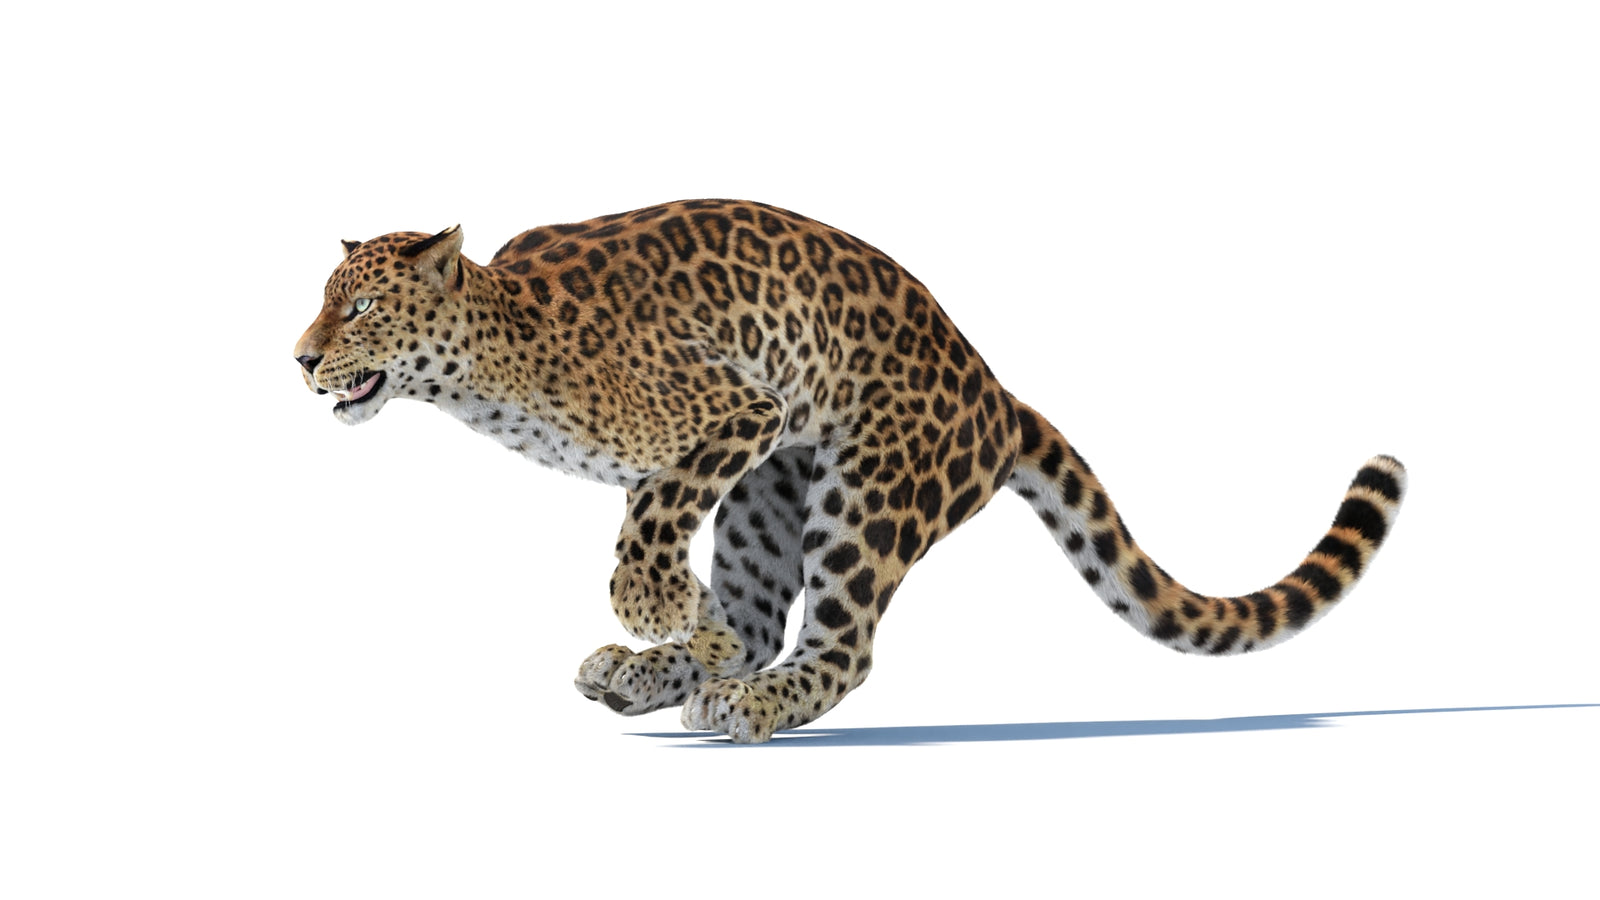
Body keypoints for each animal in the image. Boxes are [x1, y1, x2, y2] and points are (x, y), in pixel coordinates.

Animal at [294, 199, 1406, 743]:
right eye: (323, 301)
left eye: (361, 308)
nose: (300, 358)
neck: (491, 370)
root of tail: (994, 393)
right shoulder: (710, 452)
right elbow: (663, 544)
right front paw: (680, 628)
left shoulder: (740, 409)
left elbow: (644, 535)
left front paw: (660, 612)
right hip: (763, 500)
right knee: (754, 624)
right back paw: (652, 674)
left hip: (865, 492)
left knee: (841, 648)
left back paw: (748, 704)